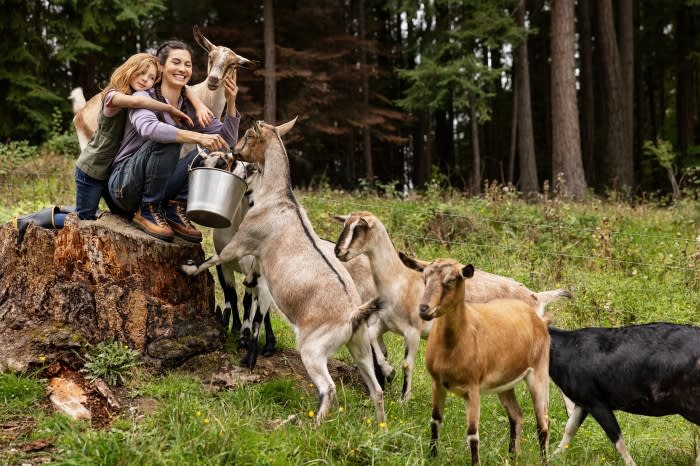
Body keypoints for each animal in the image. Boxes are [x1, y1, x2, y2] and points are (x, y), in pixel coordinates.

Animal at [180, 118, 385, 425]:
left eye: (247, 135)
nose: (234, 151)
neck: (278, 198)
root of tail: (353, 314)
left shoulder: (241, 244)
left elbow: (214, 260)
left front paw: (189, 268)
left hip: (313, 350)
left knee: (329, 388)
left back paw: (314, 425)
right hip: (359, 347)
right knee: (375, 389)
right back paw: (380, 425)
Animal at [333, 210, 571, 402]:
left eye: (359, 228)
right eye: (345, 224)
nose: (338, 251)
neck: (399, 280)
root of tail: (536, 297)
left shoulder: (413, 331)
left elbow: (407, 364)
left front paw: (404, 399)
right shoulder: (386, 323)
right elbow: (373, 338)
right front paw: (388, 371)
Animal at [418, 258, 550, 464]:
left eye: (451, 280)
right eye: (424, 278)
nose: (424, 309)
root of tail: (538, 319)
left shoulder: (472, 388)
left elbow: (472, 434)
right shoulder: (437, 382)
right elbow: (435, 420)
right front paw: (432, 457)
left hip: (539, 374)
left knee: (542, 423)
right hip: (505, 384)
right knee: (516, 415)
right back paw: (513, 457)